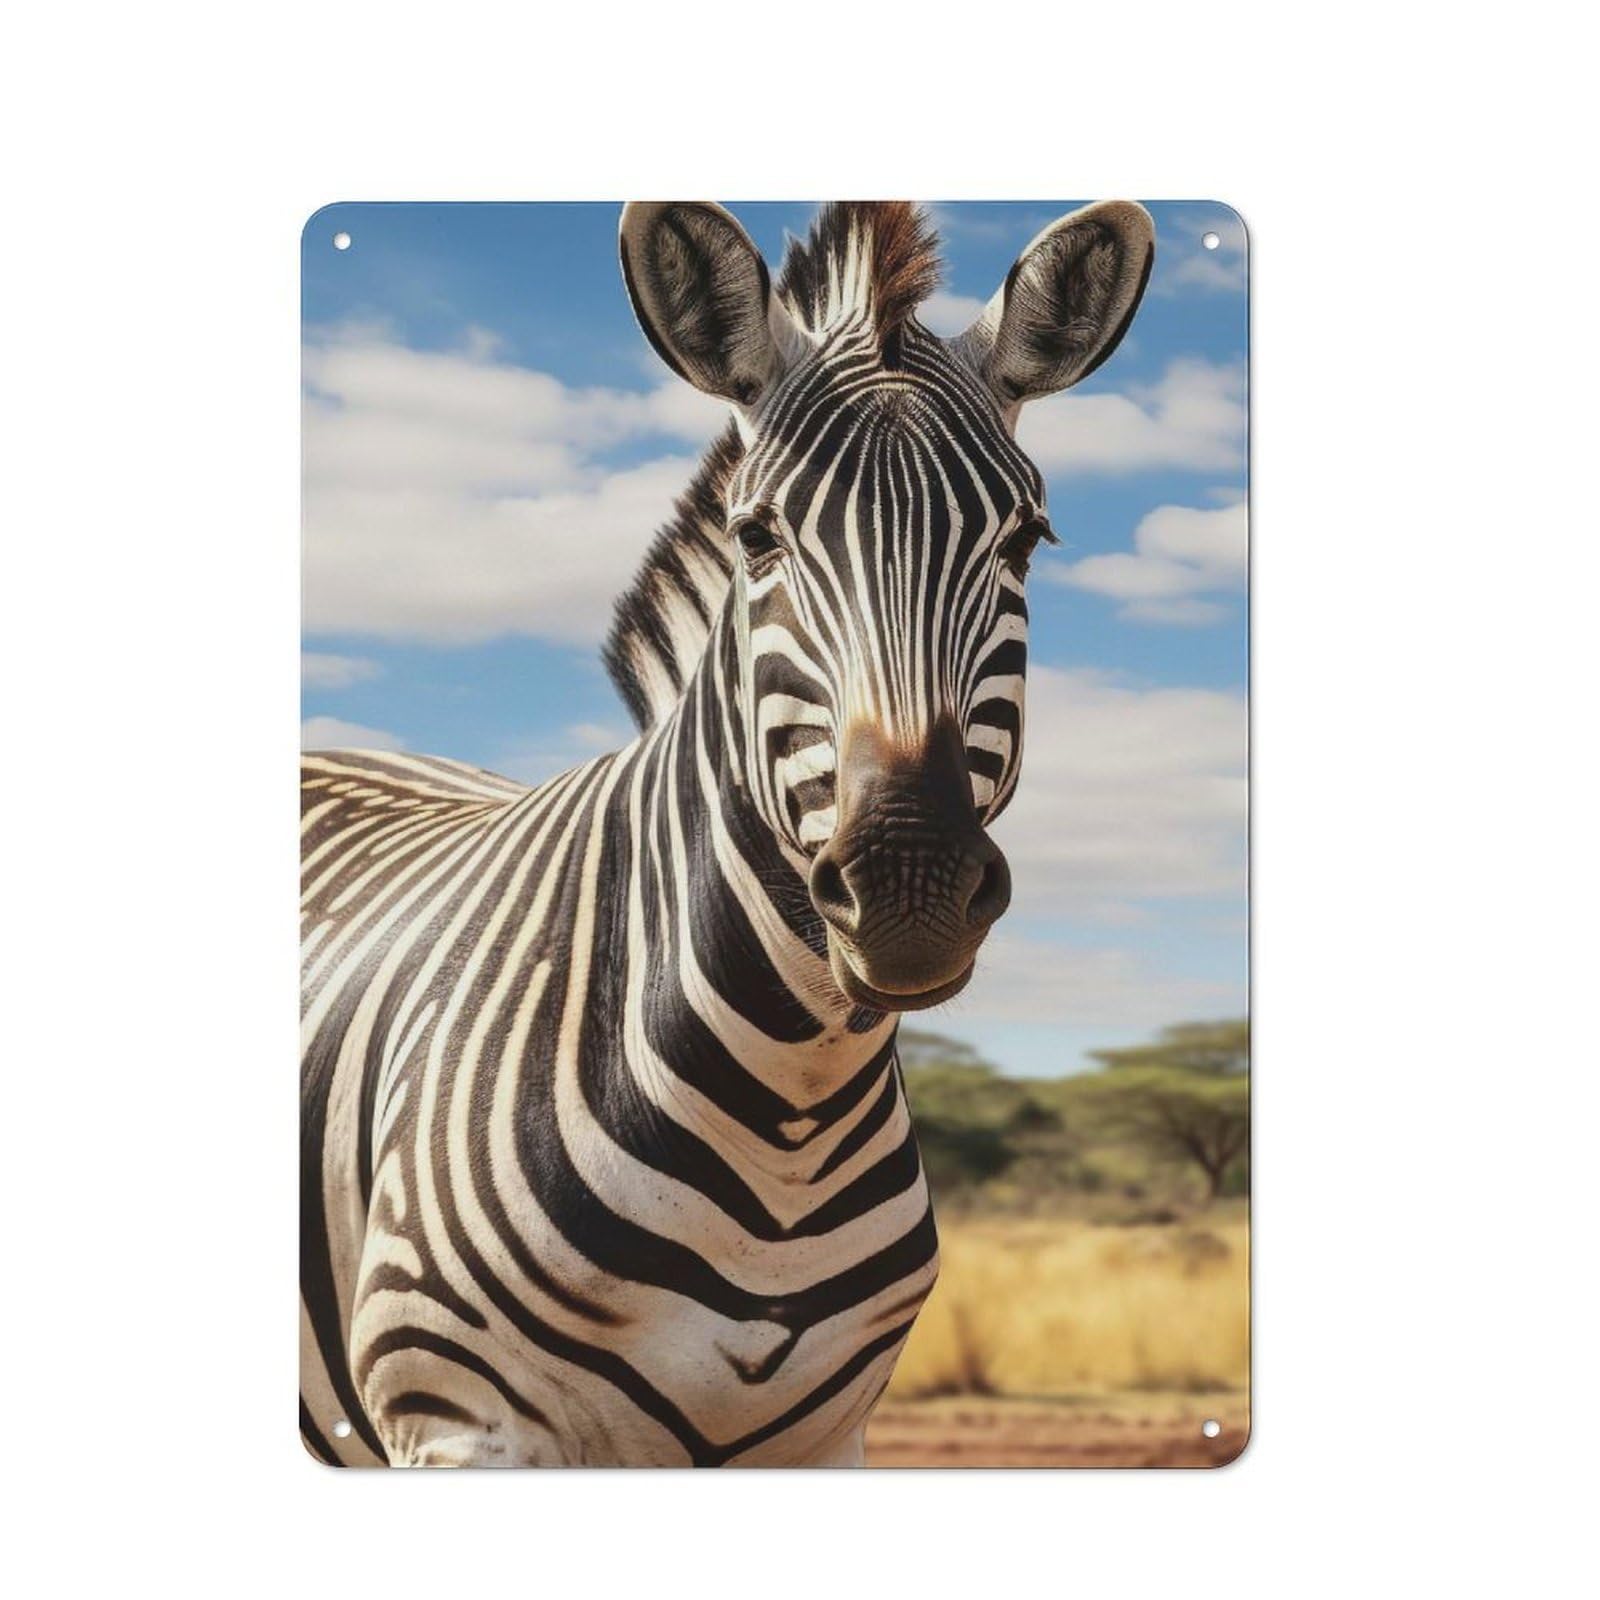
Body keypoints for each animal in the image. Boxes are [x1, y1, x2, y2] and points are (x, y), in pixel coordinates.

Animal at [301, 199, 1154, 1466]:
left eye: (1024, 541)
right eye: (757, 538)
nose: (909, 883)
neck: (787, 1100)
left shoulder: (824, 1438)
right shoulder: (458, 1421)